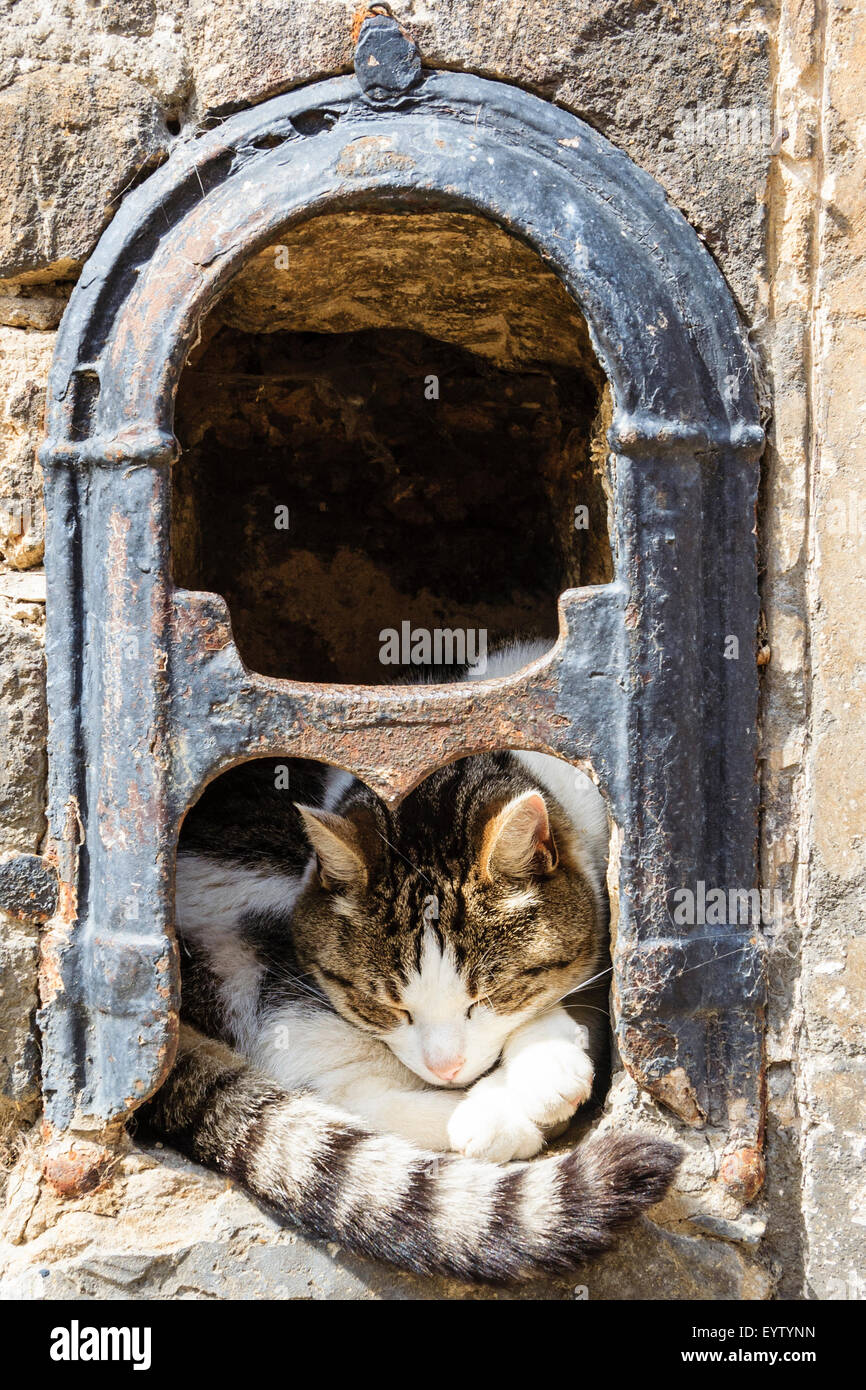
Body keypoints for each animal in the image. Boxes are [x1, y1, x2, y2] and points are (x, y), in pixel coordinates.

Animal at [139, 644, 681, 1284]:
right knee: (332, 1090)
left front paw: (541, 1062)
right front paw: (524, 1087)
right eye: (387, 1006)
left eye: (486, 996)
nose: (447, 1069)